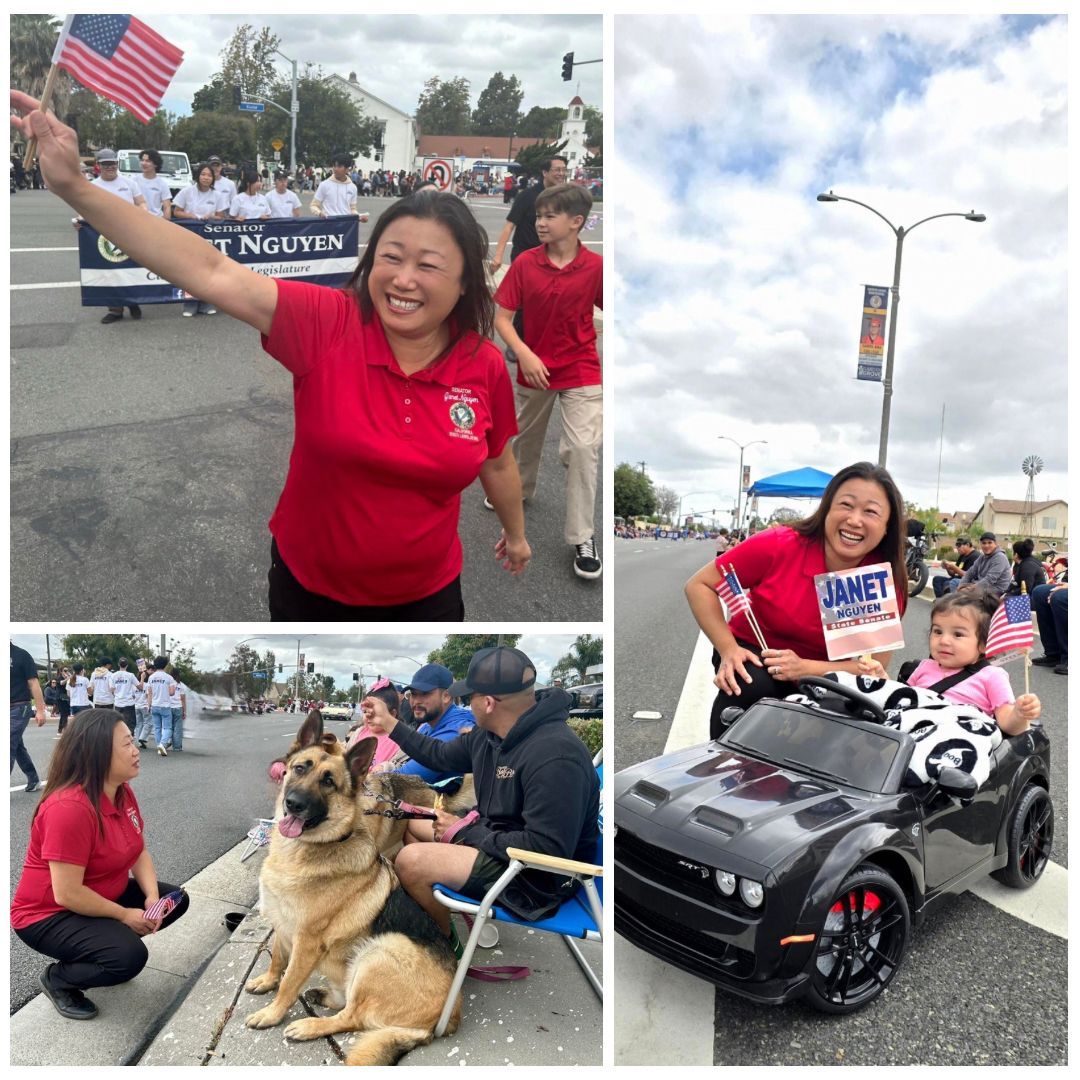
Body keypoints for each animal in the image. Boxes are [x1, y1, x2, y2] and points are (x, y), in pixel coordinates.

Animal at [243, 708, 462, 1062]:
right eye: (300, 768)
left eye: (329, 782)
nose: (293, 804)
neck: (312, 847)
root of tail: (449, 1018)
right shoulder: (283, 925)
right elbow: (278, 959)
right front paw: (267, 981)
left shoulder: (307, 943)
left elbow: (289, 982)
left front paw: (272, 1014)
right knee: (345, 1004)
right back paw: (322, 996)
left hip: (381, 950)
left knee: (352, 1017)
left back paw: (310, 1026)